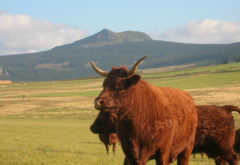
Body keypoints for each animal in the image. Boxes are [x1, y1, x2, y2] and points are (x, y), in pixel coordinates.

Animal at [91, 105, 240, 164]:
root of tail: (224, 109)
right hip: (217, 152)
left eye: (105, 113)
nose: (92, 127)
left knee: (234, 158)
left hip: (223, 148)